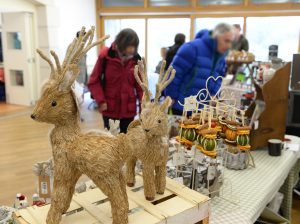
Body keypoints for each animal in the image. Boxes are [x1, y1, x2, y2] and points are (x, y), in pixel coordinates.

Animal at [30, 27, 146, 224]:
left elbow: (59, 194)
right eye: (41, 96)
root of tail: (120, 146)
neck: (69, 139)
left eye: (53, 103)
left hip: (104, 176)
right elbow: (67, 194)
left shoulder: (64, 168)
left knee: (118, 200)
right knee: (124, 195)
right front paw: (64, 211)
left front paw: (52, 217)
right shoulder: (74, 171)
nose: (33, 115)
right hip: (116, 174)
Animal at [126, 58, 176, 200]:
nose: (146, 130)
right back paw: (130, 183)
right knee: (130, 165)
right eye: (142, 118)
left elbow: (161, 178)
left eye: (159, 120)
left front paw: (161, 191)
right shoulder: (148, 163)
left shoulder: (162, 163)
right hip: (131, 155)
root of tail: (131, 128)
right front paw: (150, 196)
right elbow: (148, 178)